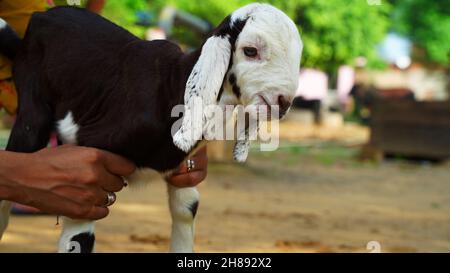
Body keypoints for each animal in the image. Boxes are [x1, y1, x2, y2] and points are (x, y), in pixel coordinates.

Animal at [0, 3, 304, 252]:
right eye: (250, 51)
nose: (283, 102)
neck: (172, 85)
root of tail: (38, 18)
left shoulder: (182, 171)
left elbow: (186, 209)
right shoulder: (87, 168)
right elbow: (79, 237)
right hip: (32, 109)